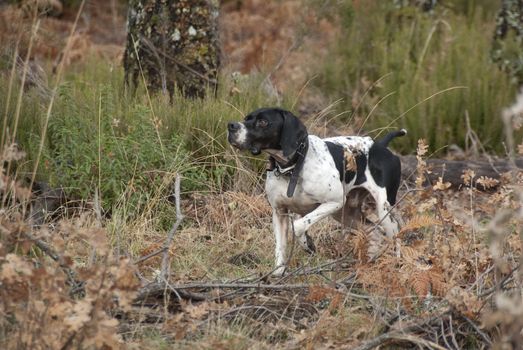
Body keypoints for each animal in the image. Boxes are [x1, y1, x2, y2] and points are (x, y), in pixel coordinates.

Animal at [227, 107, 408, 276]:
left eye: (263, 122)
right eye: (246, 118)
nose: (231, 126)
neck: (293, 167)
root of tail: (380, 146)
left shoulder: (333, 202)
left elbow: (298, 225)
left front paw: (307, 243)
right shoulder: (279, 212)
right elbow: (280, 247)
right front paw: (278, 273)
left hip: (383, 209)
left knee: (395, 235)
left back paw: (396, 265)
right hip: (346, 214)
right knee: (374, 231)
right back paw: (369, 263)